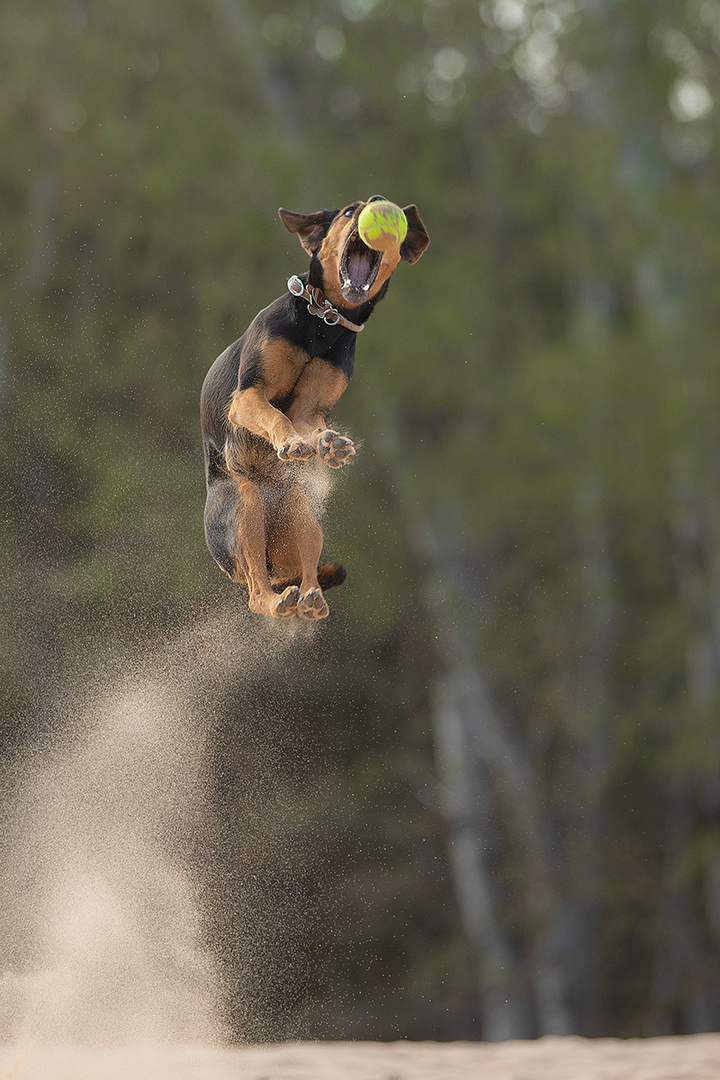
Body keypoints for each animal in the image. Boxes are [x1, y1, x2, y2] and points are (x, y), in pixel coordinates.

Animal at [199, 197, 431, 622]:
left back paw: (309, 597)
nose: (377, 203)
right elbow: (275, 416)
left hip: (301, 510)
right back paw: (279, 601)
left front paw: (328, 445)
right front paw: (291, 444)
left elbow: (310, 425)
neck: (325, 322)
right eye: (348, 211)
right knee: (257, 595)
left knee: (306, 574)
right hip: (243, 505)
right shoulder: (248, 397)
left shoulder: (311, 410)